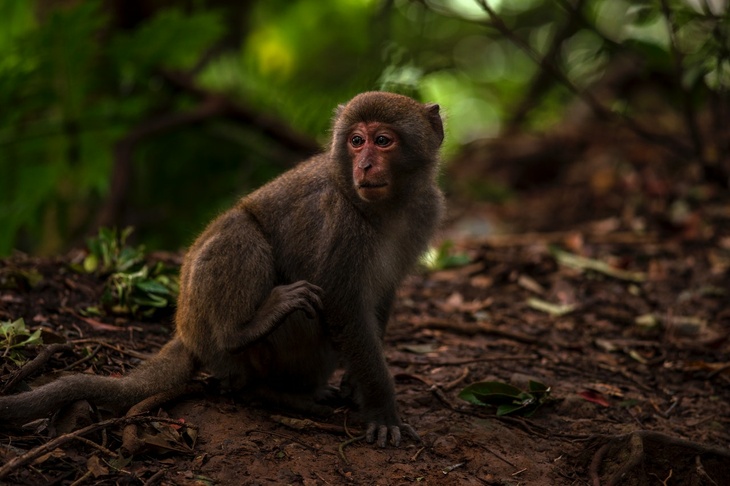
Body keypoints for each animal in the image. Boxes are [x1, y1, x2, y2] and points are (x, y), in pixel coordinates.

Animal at [0, 92, 444, 448]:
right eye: (356, 141)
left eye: (382, 140)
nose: (364, 165)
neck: (385, 208)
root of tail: (186, 330)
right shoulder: (341, 222)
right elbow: (343, 303)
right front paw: (383, 409)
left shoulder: (425, 210)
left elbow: (381, 294)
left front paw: (356, 385)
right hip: (221, 335)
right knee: (241, 231)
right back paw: (257, 358)